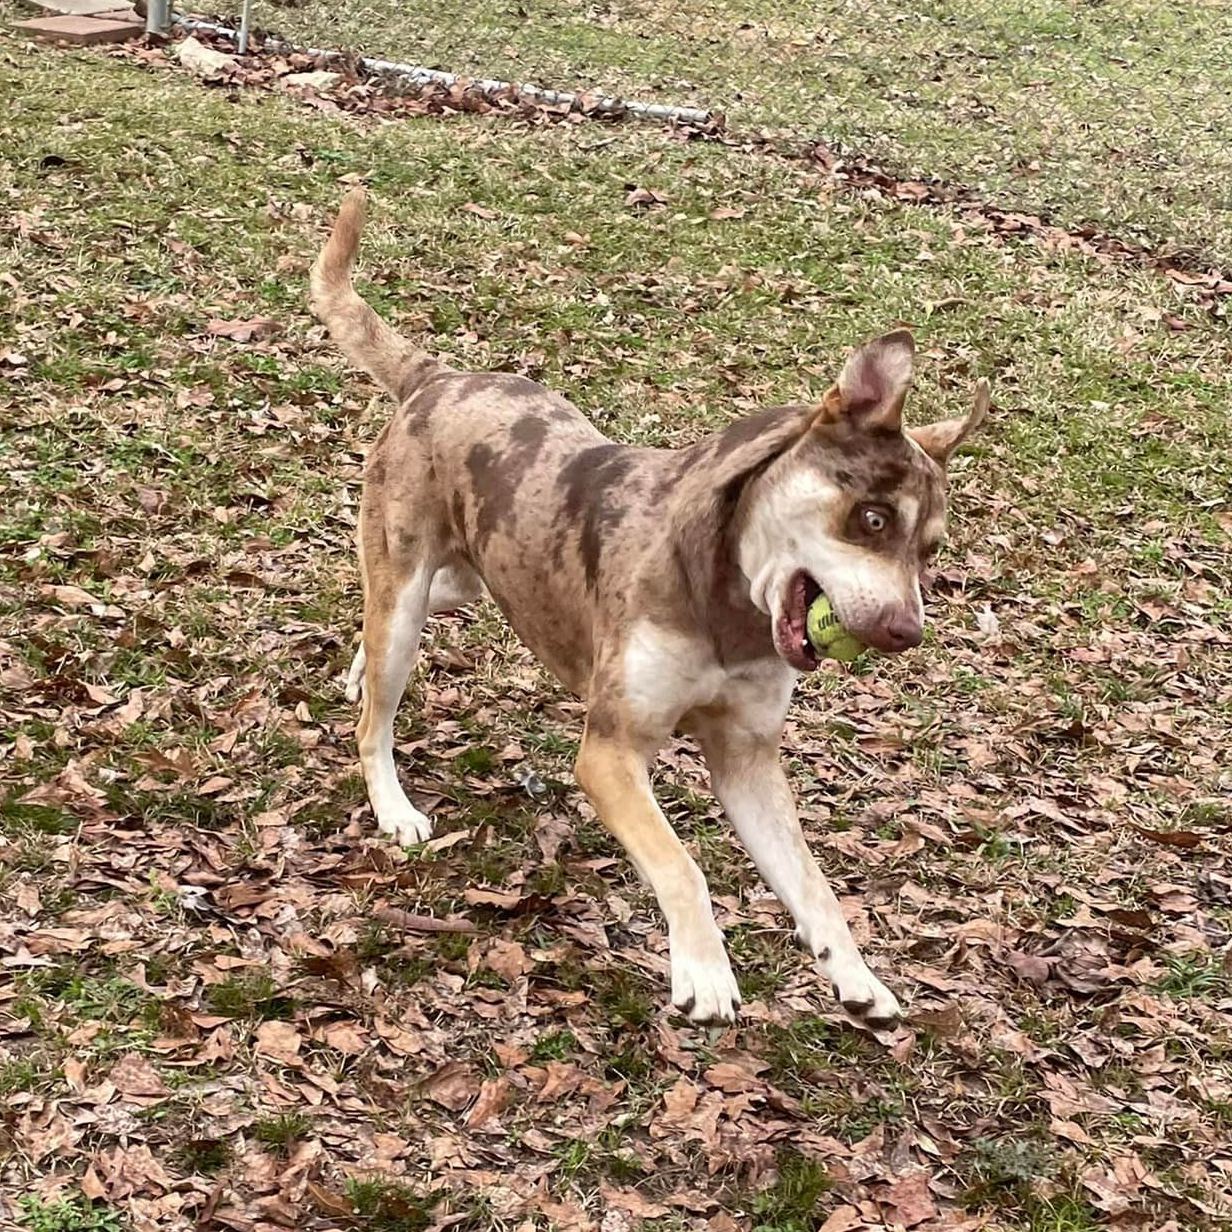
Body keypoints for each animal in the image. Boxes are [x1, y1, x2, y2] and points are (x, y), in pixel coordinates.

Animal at [310, 184, 990, 1029]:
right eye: (871, 519)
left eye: (930, 550)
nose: (906, 631)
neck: (730, 610)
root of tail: (437, 377)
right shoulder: (611, 753)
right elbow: (681, 862)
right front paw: (704, 969)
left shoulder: (747, 760)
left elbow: (812, 880)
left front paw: (855, 973)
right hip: (408, 586)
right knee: (377, 711)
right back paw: (392, 799)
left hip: (478, 573)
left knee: (399, 618)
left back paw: (356, 670)